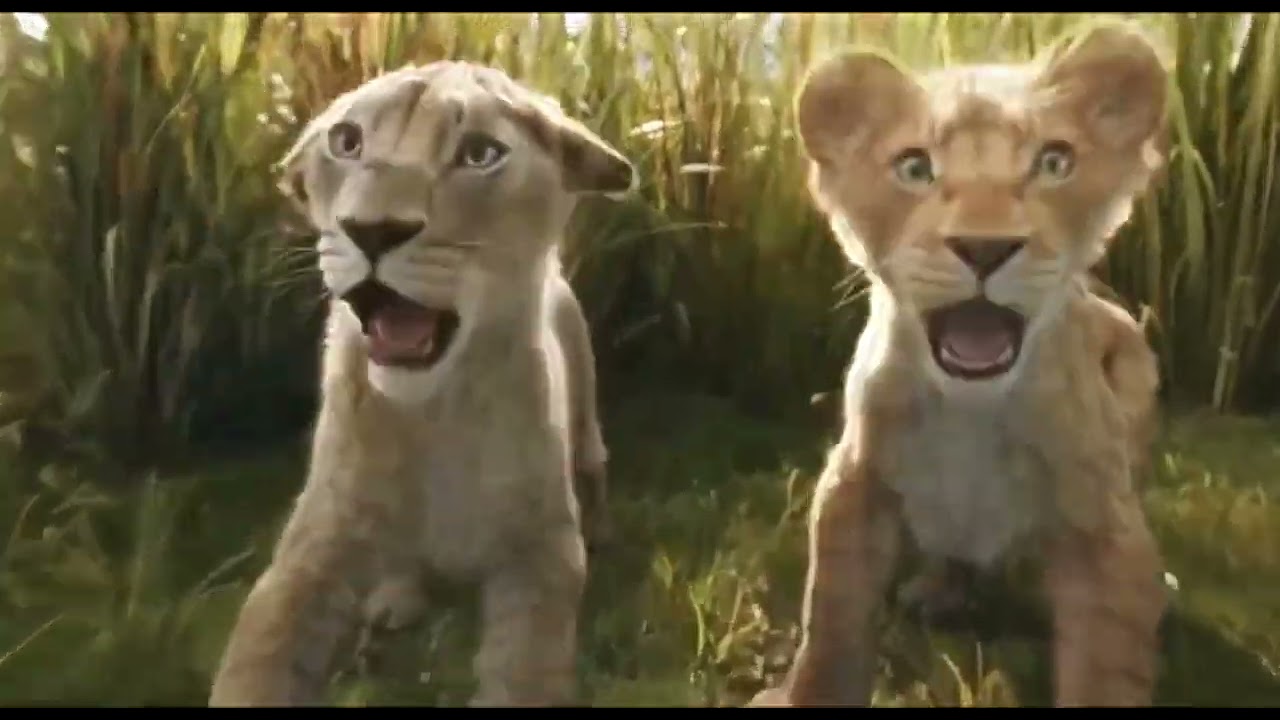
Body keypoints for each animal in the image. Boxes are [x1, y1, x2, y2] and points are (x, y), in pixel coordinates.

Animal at [207, 60, 635, 707]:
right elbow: (262, 646)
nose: (372, 230)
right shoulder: (318, 537)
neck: (437, 412)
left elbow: (526, 668)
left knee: (594, 461)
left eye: (480, 154)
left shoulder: (542, 551)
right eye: (347, 141)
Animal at [751, 22, 1170, 707]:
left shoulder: (1108, 535)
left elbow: (1106, 671)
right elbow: (830, 631)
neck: (970, 412)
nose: (983, 247)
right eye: (915, 167)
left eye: (1054, 161)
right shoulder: (853, 486)